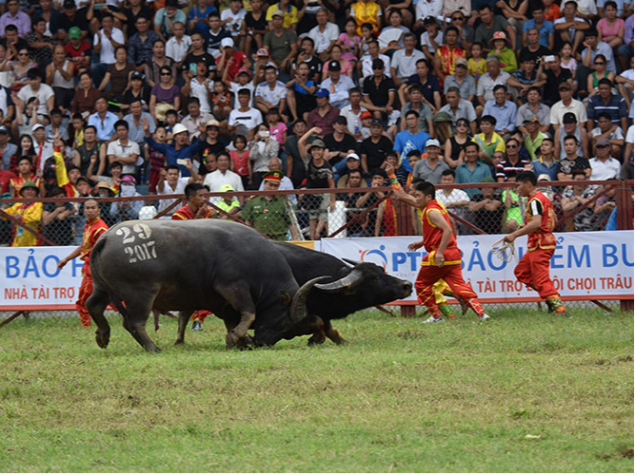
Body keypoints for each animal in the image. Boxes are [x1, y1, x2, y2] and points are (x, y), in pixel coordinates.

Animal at [89, 221, 326, 352]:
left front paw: (240, 340)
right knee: (134, 323)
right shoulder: (232, 287)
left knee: (94, 305)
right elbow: (249, 313)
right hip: (141, 294)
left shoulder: (223, 304)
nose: (262, 342)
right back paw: (152, 347)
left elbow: (233, 321)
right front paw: (237, 338)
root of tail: (107, 237)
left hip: (102, 288)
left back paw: (102, 336)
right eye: (285, 324)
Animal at [272, 244, 412, 344]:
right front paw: (315, 339)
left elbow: (329, 329)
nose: (407, 285)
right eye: (372, 280)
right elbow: (321, 324)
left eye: (382, 270)